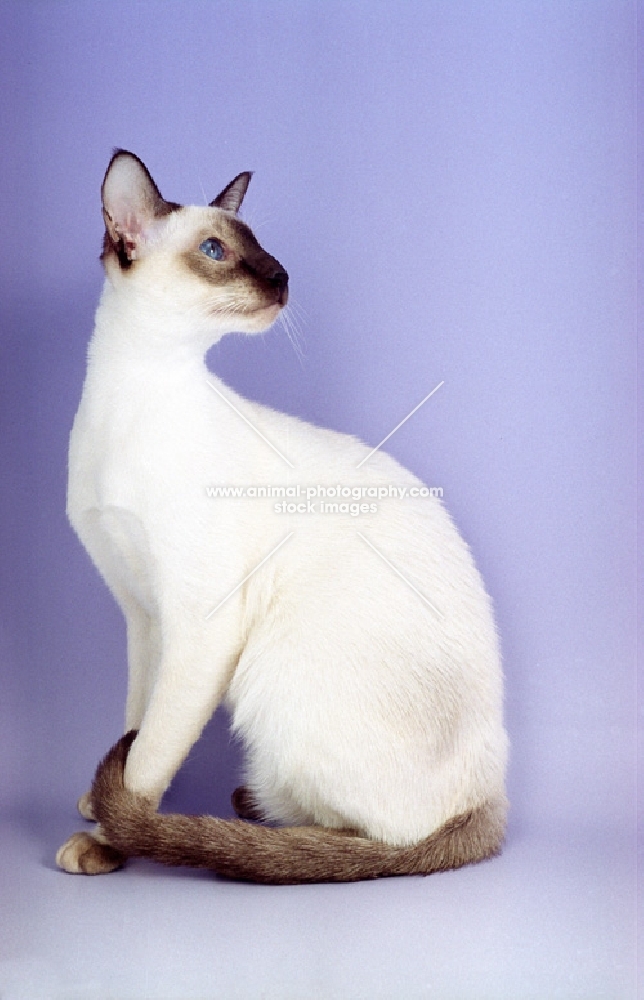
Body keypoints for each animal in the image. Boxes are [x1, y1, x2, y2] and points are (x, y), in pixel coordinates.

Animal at [56, 148, 508, 884]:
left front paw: (108, 836)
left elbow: (149, 753)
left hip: (271, 666)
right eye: (216, 251)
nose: (282, 278)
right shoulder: (142, 615)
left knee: (374, 842)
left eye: (263, 251)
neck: (128, 395)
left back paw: (250, 832)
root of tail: (493, 797)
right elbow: (134, 720)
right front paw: (100, 805)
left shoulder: (198, 624)